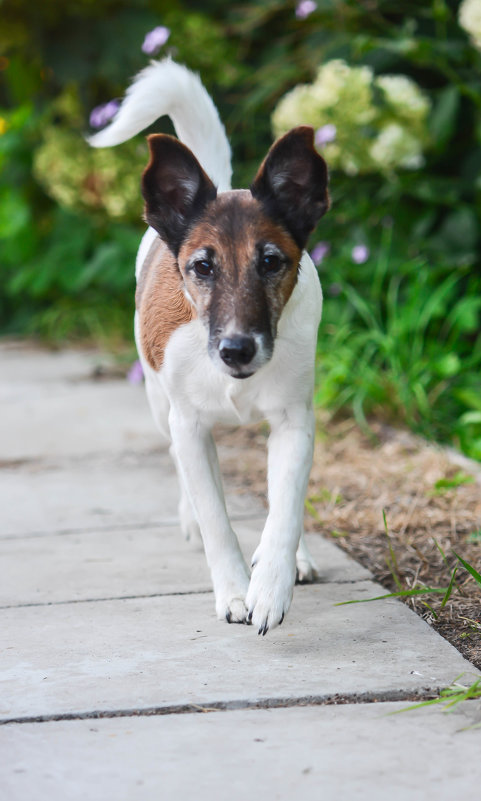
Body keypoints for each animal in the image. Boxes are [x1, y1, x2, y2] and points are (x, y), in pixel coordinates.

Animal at [89, 57, 330, 632]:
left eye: (272, 262)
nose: (237, 351)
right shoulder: (190, 426)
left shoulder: (295, 420)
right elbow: (216, 516)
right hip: (160, 405)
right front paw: (236, 591)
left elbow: (286, 505)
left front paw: (272, 584)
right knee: (178, 464)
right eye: (202, 267)